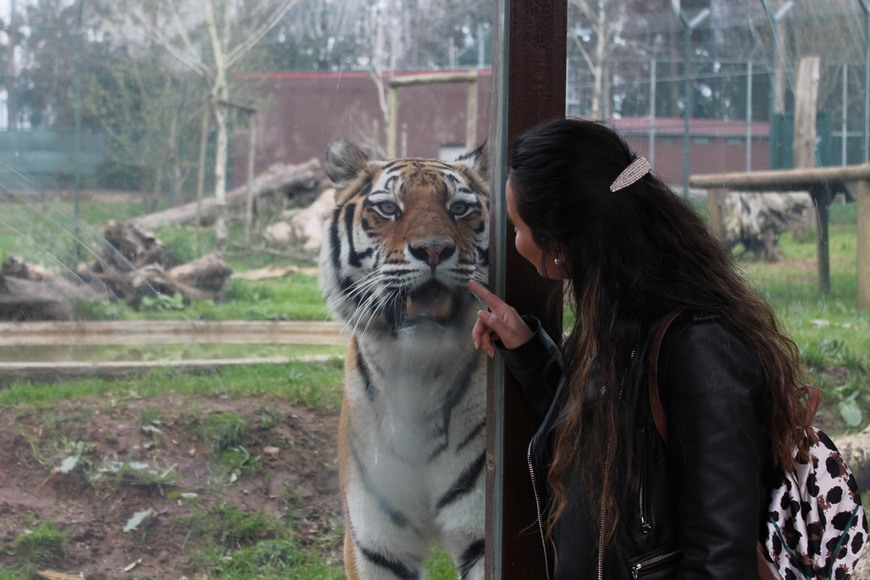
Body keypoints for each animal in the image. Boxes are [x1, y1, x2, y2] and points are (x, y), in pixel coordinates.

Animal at [320, 137, 490, 580]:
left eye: (459, 208)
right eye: (387, 208)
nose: (434, 249)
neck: (418, 377)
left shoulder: (483, 537)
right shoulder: (374, 544)